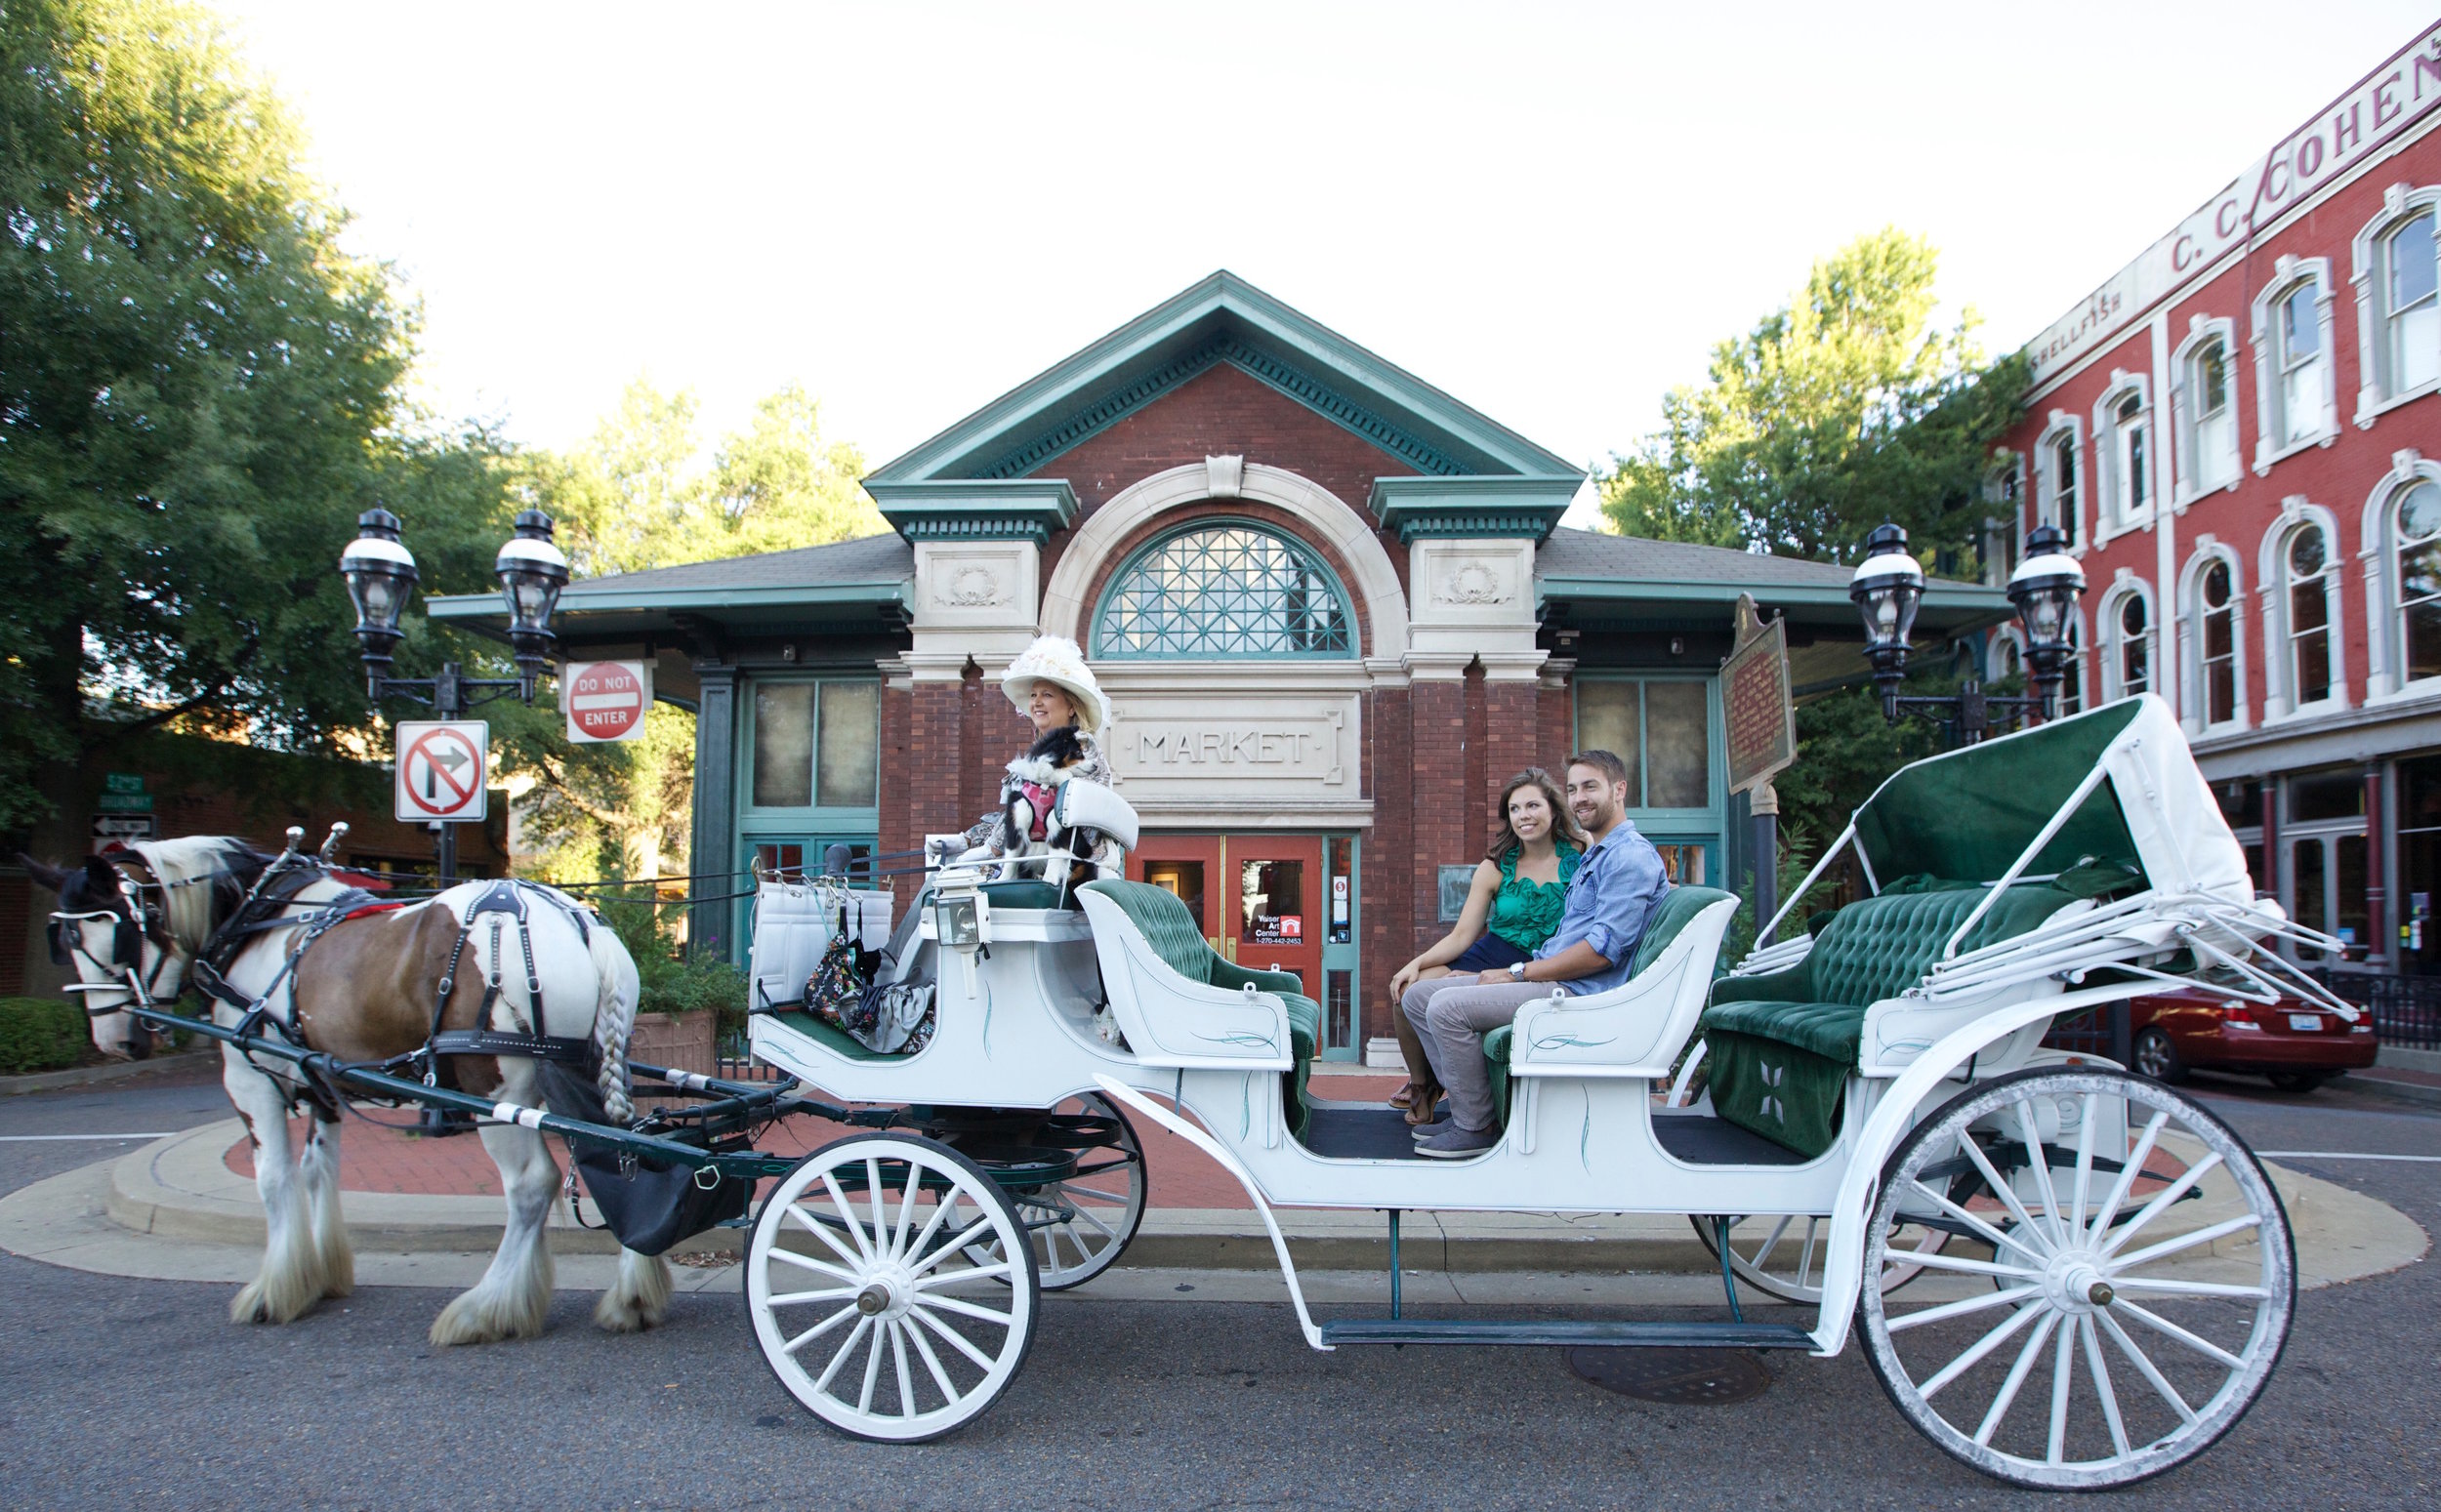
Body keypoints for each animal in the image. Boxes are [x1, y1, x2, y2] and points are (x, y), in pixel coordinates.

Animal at [23, 838, 674, 1346]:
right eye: (65, 938)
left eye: (109, 933)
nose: (113, 1038)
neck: (260, 917)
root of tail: (579, 922)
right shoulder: (321, 1082)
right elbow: (319, 1171)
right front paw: (323, 1274)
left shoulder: (252, 1077)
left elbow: (275, 1179)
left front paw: (274, 1290)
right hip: (585, 1068)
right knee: (625, 1157)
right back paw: (631, 1296)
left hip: (495, 1081)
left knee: (532, 1186)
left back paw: (487, 1307)